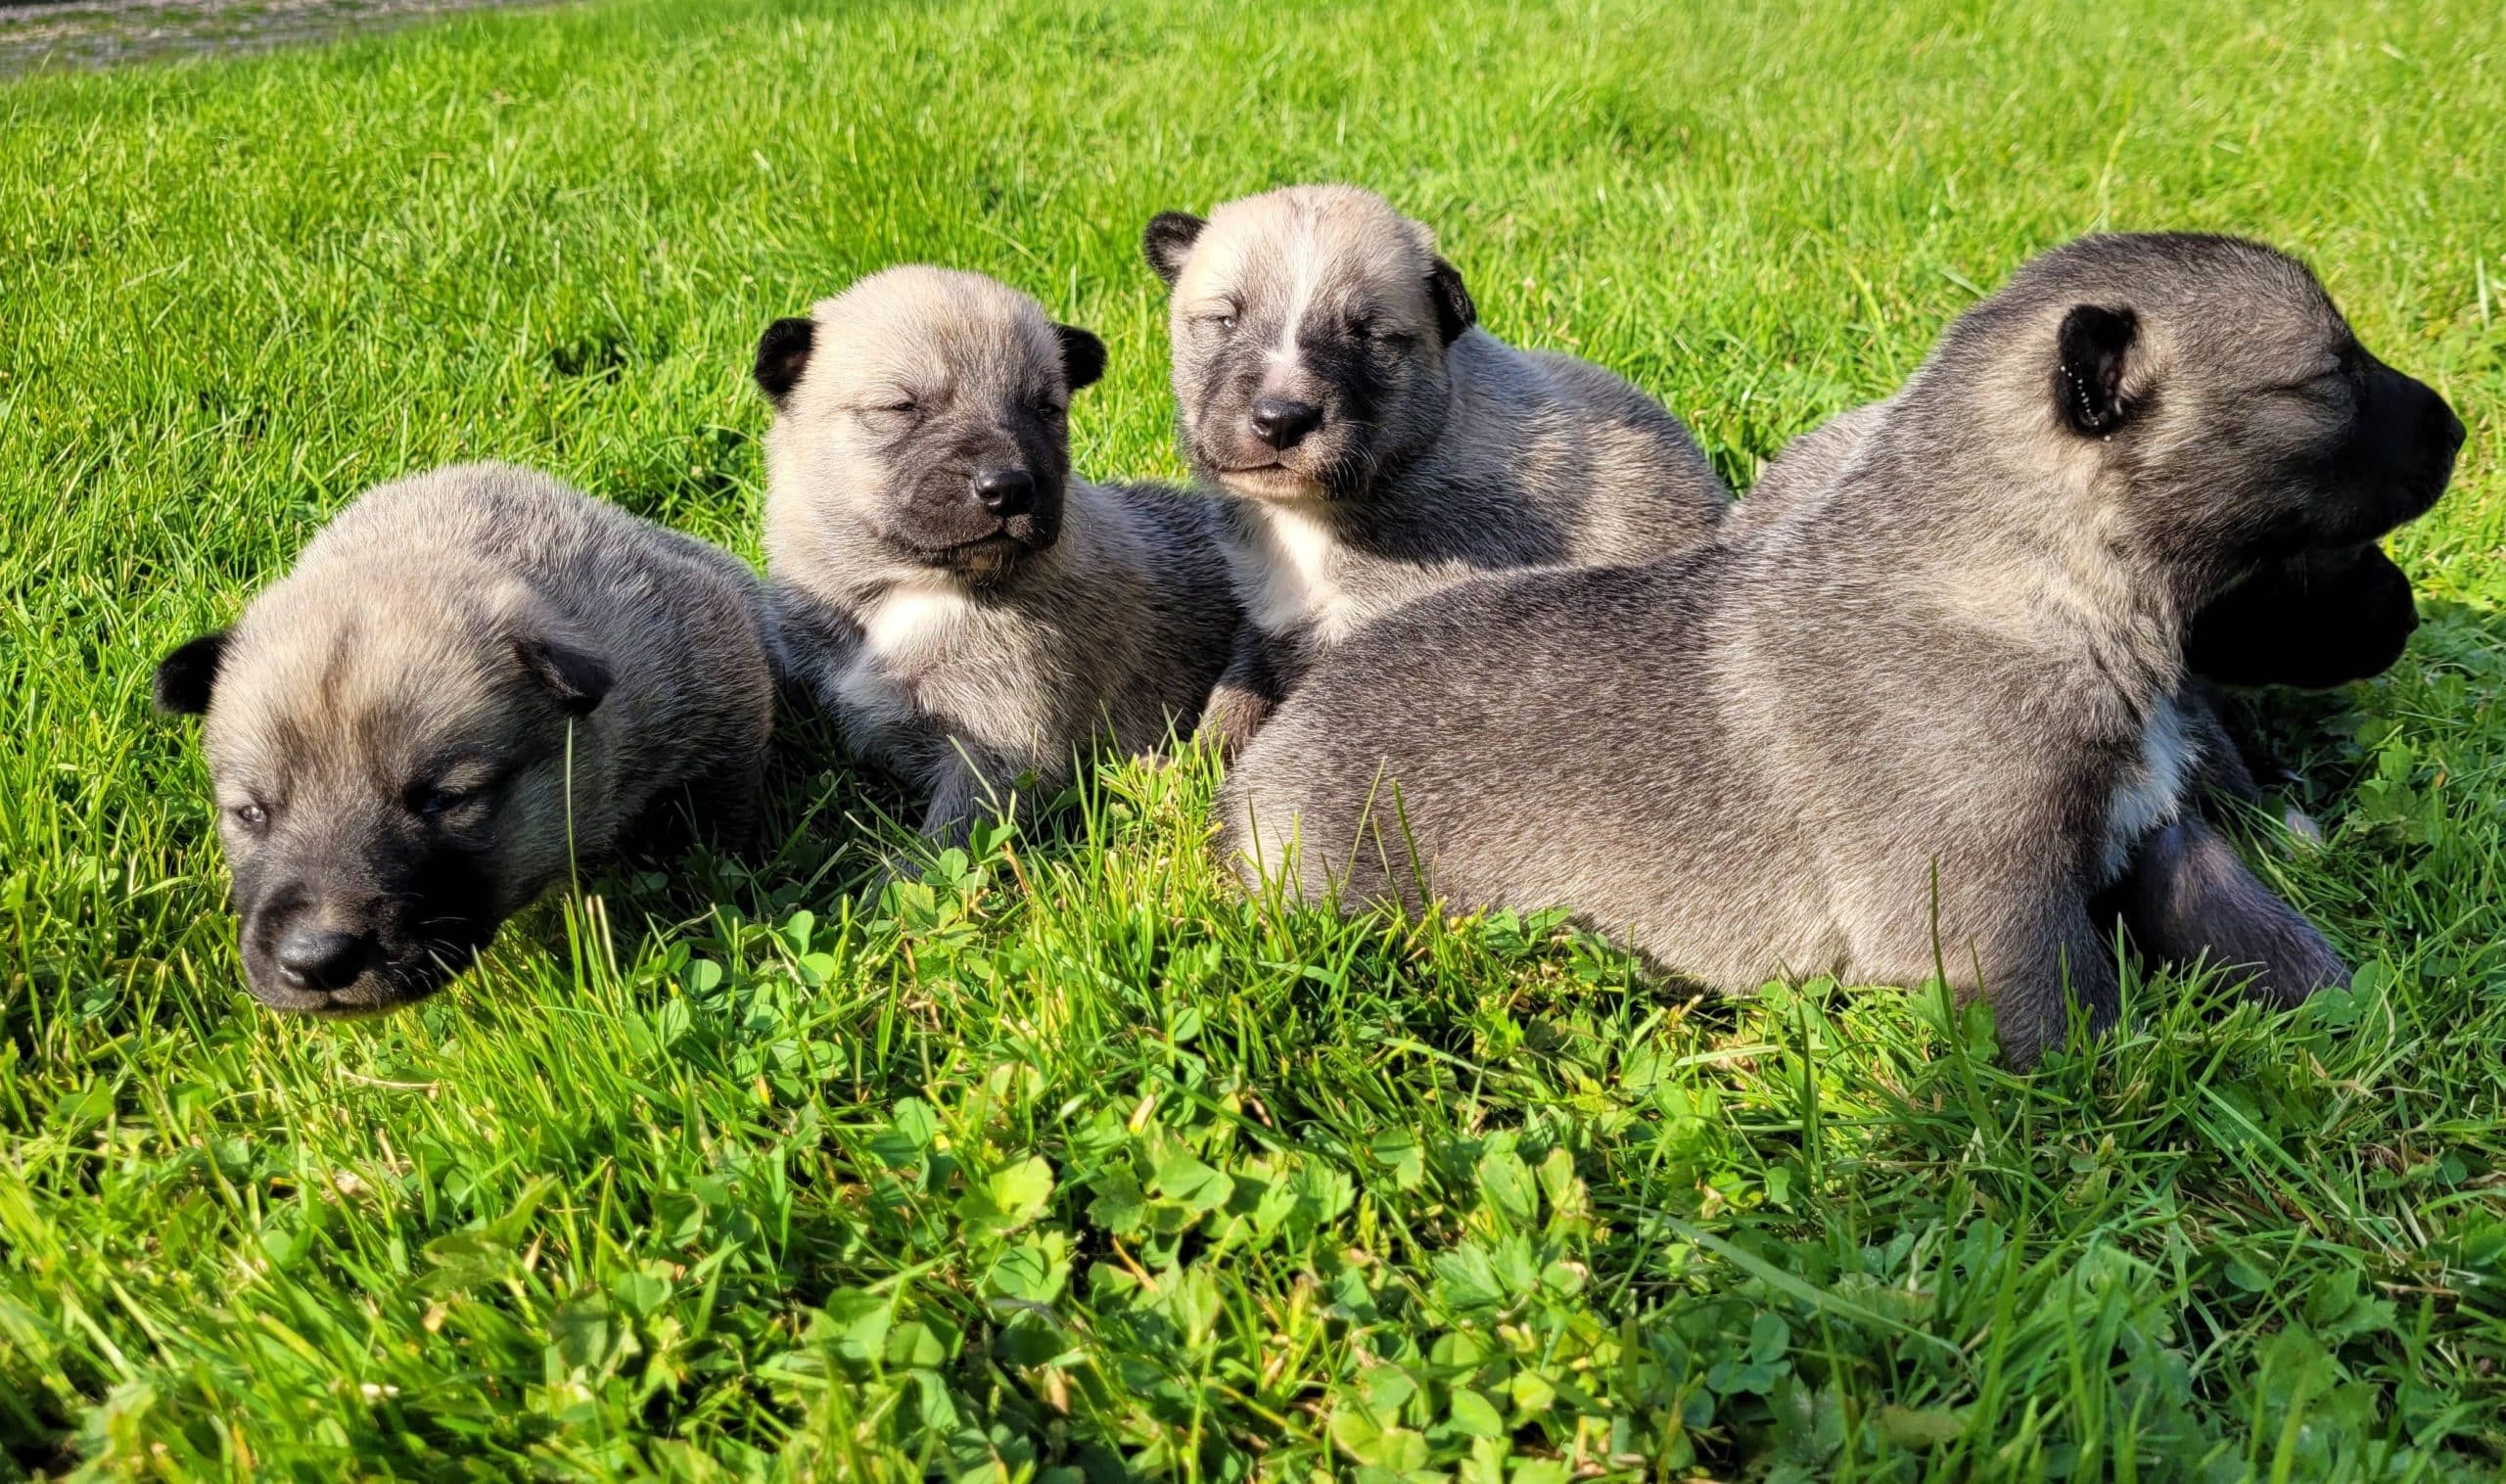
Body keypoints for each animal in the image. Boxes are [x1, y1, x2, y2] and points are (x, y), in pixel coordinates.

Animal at [154, 463, 771, 1022]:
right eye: (251, 813)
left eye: (443, 800)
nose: (316, 961)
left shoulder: (719, 680)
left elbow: (716, 819)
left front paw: (696, 890)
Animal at [757, 268, 1237, 847]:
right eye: (901, 407)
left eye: (1046, 409)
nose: (1008, 488)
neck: (907, 590)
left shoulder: (1000, 752)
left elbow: (938, 848)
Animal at [1147, 182, 1734, 752]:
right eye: (1226, 319)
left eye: (1366, 334)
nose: (1281, 420)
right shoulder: (1268, 611)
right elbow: (1235, 693)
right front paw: (1191, 760)